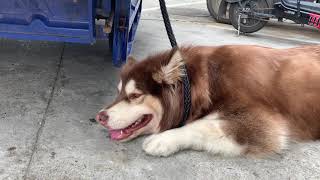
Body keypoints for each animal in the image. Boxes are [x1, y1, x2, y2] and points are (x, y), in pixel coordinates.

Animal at [96, 45, 320, 158]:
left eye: (134, 96)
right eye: (118, 92)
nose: (100, 117)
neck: (210, 79)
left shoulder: (263, 125)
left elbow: (202, 125)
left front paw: (164, 140)